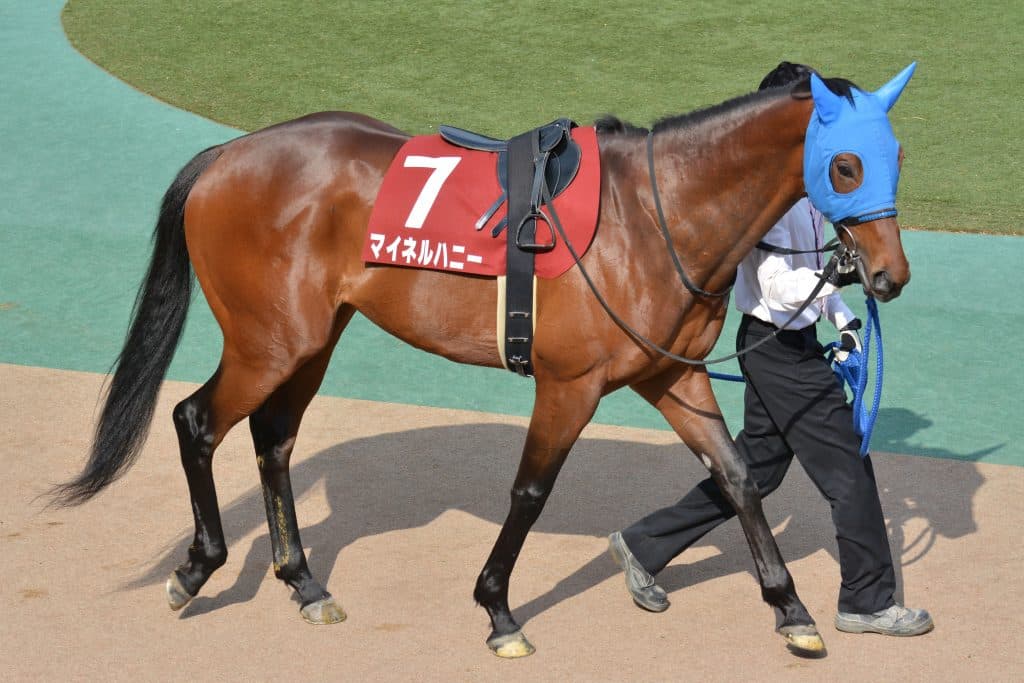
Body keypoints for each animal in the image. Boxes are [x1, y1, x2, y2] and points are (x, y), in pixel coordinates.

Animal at [57, 64, 916, 657]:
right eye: (845, 165)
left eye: (895, 156)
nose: (887, 276)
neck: (655, 214)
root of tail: (226, 153)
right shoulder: (570, 384)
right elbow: (531, 490)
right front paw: (498, 608)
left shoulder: (671, 374)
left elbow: (736, 474)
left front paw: (791, 608)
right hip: (268, 341)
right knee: (196, 419)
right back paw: (196, 567)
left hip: (312, 338)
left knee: (274, 437)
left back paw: (303, 581)